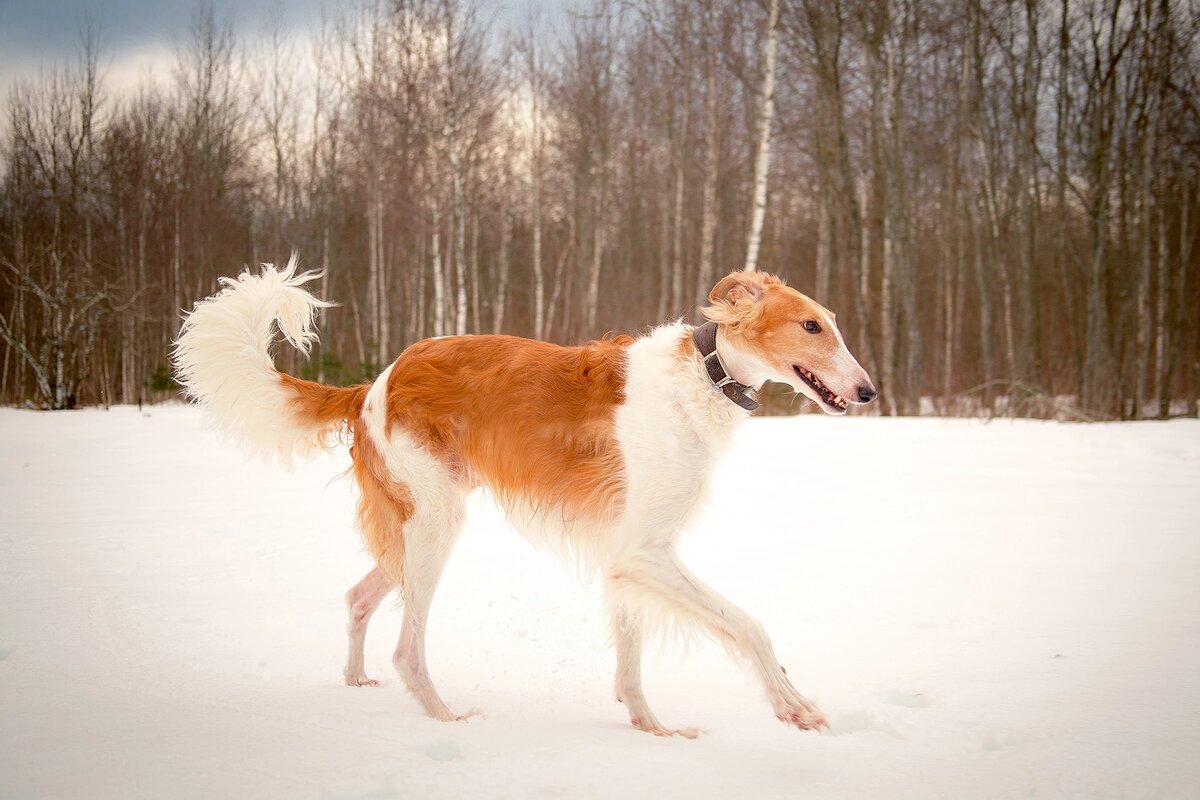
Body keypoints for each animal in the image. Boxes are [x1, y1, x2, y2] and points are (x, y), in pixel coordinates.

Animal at [174, 262, 873, 738]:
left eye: (833, 324)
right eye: (811, 325)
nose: (868, 392)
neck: (702, 375)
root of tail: (375, 382)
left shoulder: (628, 557)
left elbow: (630, 664)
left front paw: (653, 730)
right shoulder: (644, 553)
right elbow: (750, 625)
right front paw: (793, 705)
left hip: (416, 524)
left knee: (357, 599)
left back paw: (355, 685)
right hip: (437, 524)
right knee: (407, 648)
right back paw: (447, 717)